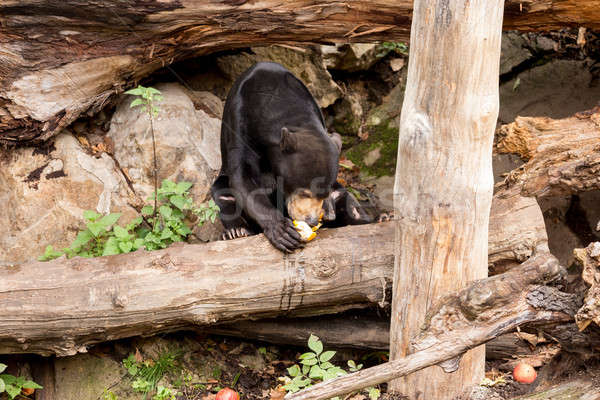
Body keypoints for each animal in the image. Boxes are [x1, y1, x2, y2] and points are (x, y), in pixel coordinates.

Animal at [210, 61, 370, 252]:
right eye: (305, 193)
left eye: (323, 195)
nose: (312, 220)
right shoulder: (239, 120)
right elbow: (243, 177)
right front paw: (283, 231)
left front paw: (330, 207)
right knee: (223, 194)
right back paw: (236, 231)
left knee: (348, 200)